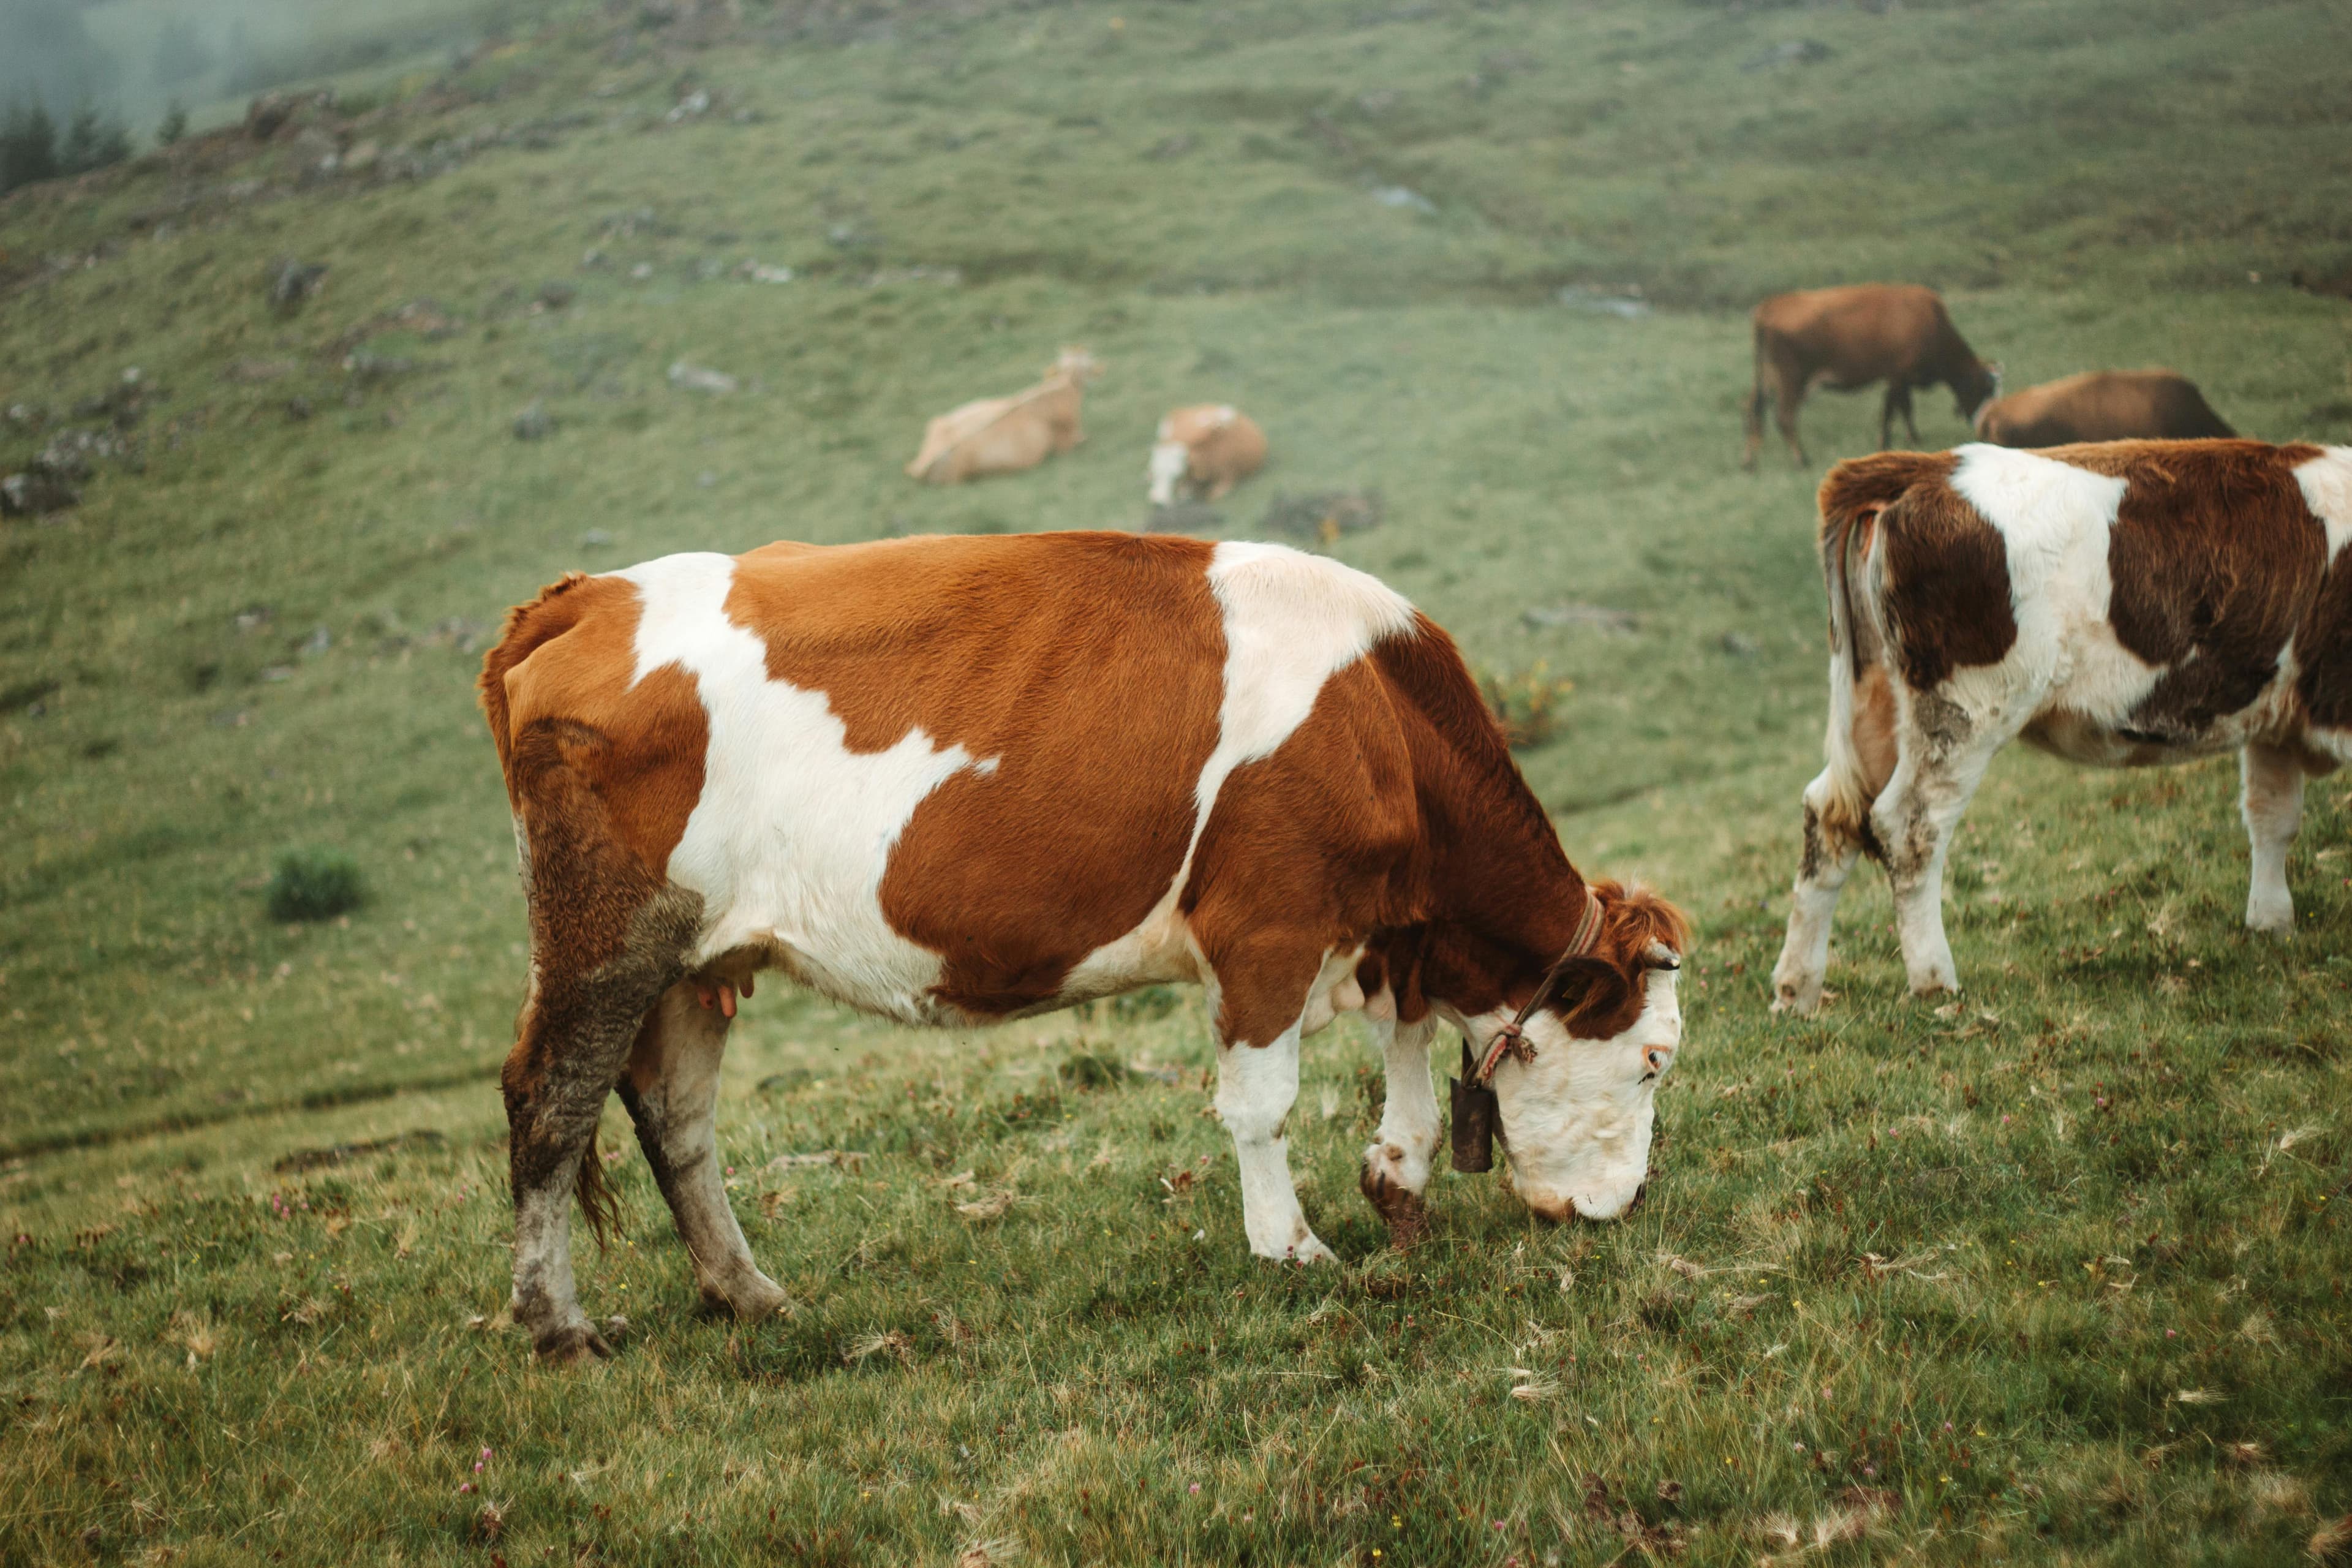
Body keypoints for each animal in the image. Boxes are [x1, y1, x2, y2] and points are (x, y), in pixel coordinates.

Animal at [480, 531, 1691, 1361]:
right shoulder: (1268, 926)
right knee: (549, 1105)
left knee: (677, 1119)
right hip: (605, 935)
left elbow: (1413, 1062)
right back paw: (557, 1327)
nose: (1627, 1207)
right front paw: (1292, 1248)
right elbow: (1262, 1106)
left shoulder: (1388, 931)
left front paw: (1397, 1186)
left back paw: (749, 1294)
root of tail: (586, 596)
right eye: (1653, 1061)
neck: (1381, 716)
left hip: (697, 960)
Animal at [1742, 284, 2001, 471]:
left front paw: (1914, 439)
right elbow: (1891, 412)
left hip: (1767, 380)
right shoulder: (1897, 377)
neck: (1930, 323)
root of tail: (1771, 305)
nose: (1986, 429)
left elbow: (1905, 410)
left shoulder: (1901, 381)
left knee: (1753, 409)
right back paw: (1802, 460)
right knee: (1784, 417)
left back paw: (1750, 464)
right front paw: (1886, 445)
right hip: (1792, 381)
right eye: (1986, 389)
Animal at [1771, 439, 2352, 1016]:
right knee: (1909, 827)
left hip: (1876, 707)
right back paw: (1936, 983)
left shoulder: (2274, 725)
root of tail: (1929, 466)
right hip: (1965, 713)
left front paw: (2271, 925)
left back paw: (1796, 991)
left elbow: (2273, 817)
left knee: (1831, 816)